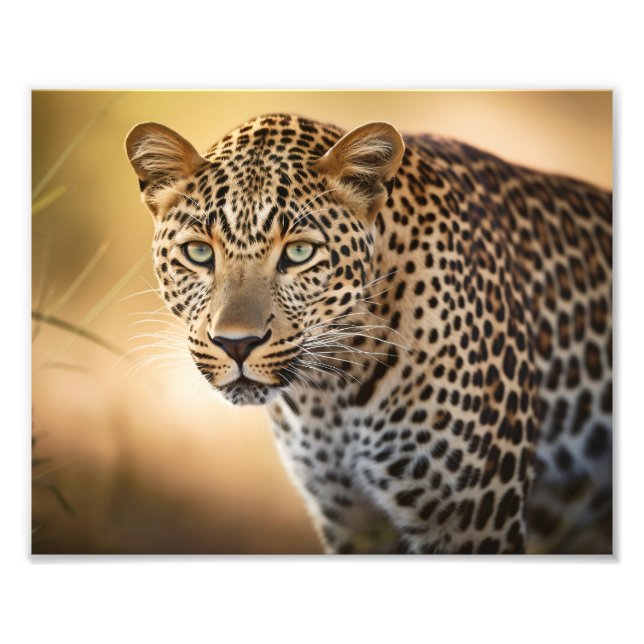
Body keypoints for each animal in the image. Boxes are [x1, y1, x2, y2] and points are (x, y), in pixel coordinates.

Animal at [125, 112, 612, 554]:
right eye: (198, 253)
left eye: (299, 254)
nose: (236, 344)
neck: (329, 392)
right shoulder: (350, 520)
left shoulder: (474, 517)